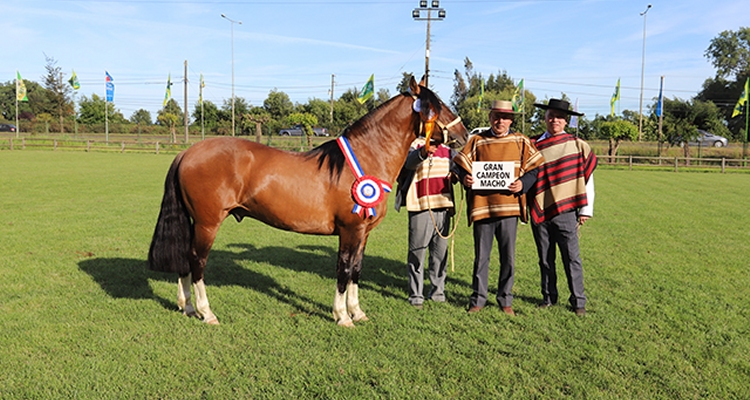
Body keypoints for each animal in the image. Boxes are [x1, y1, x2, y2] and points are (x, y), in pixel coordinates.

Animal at [147, 76, 470, 326]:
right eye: (435, 107)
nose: (464, 135)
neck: (366, 157)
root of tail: (187, 153)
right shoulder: (350, 231)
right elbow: (343, 270)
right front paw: (342, 316)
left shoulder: (363, 234)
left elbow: (356, 270)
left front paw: (357, 312)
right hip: (207, 223)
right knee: (197, 261)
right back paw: (207, 312)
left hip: (196, 223)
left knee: (185, 259)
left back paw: (188, 308)